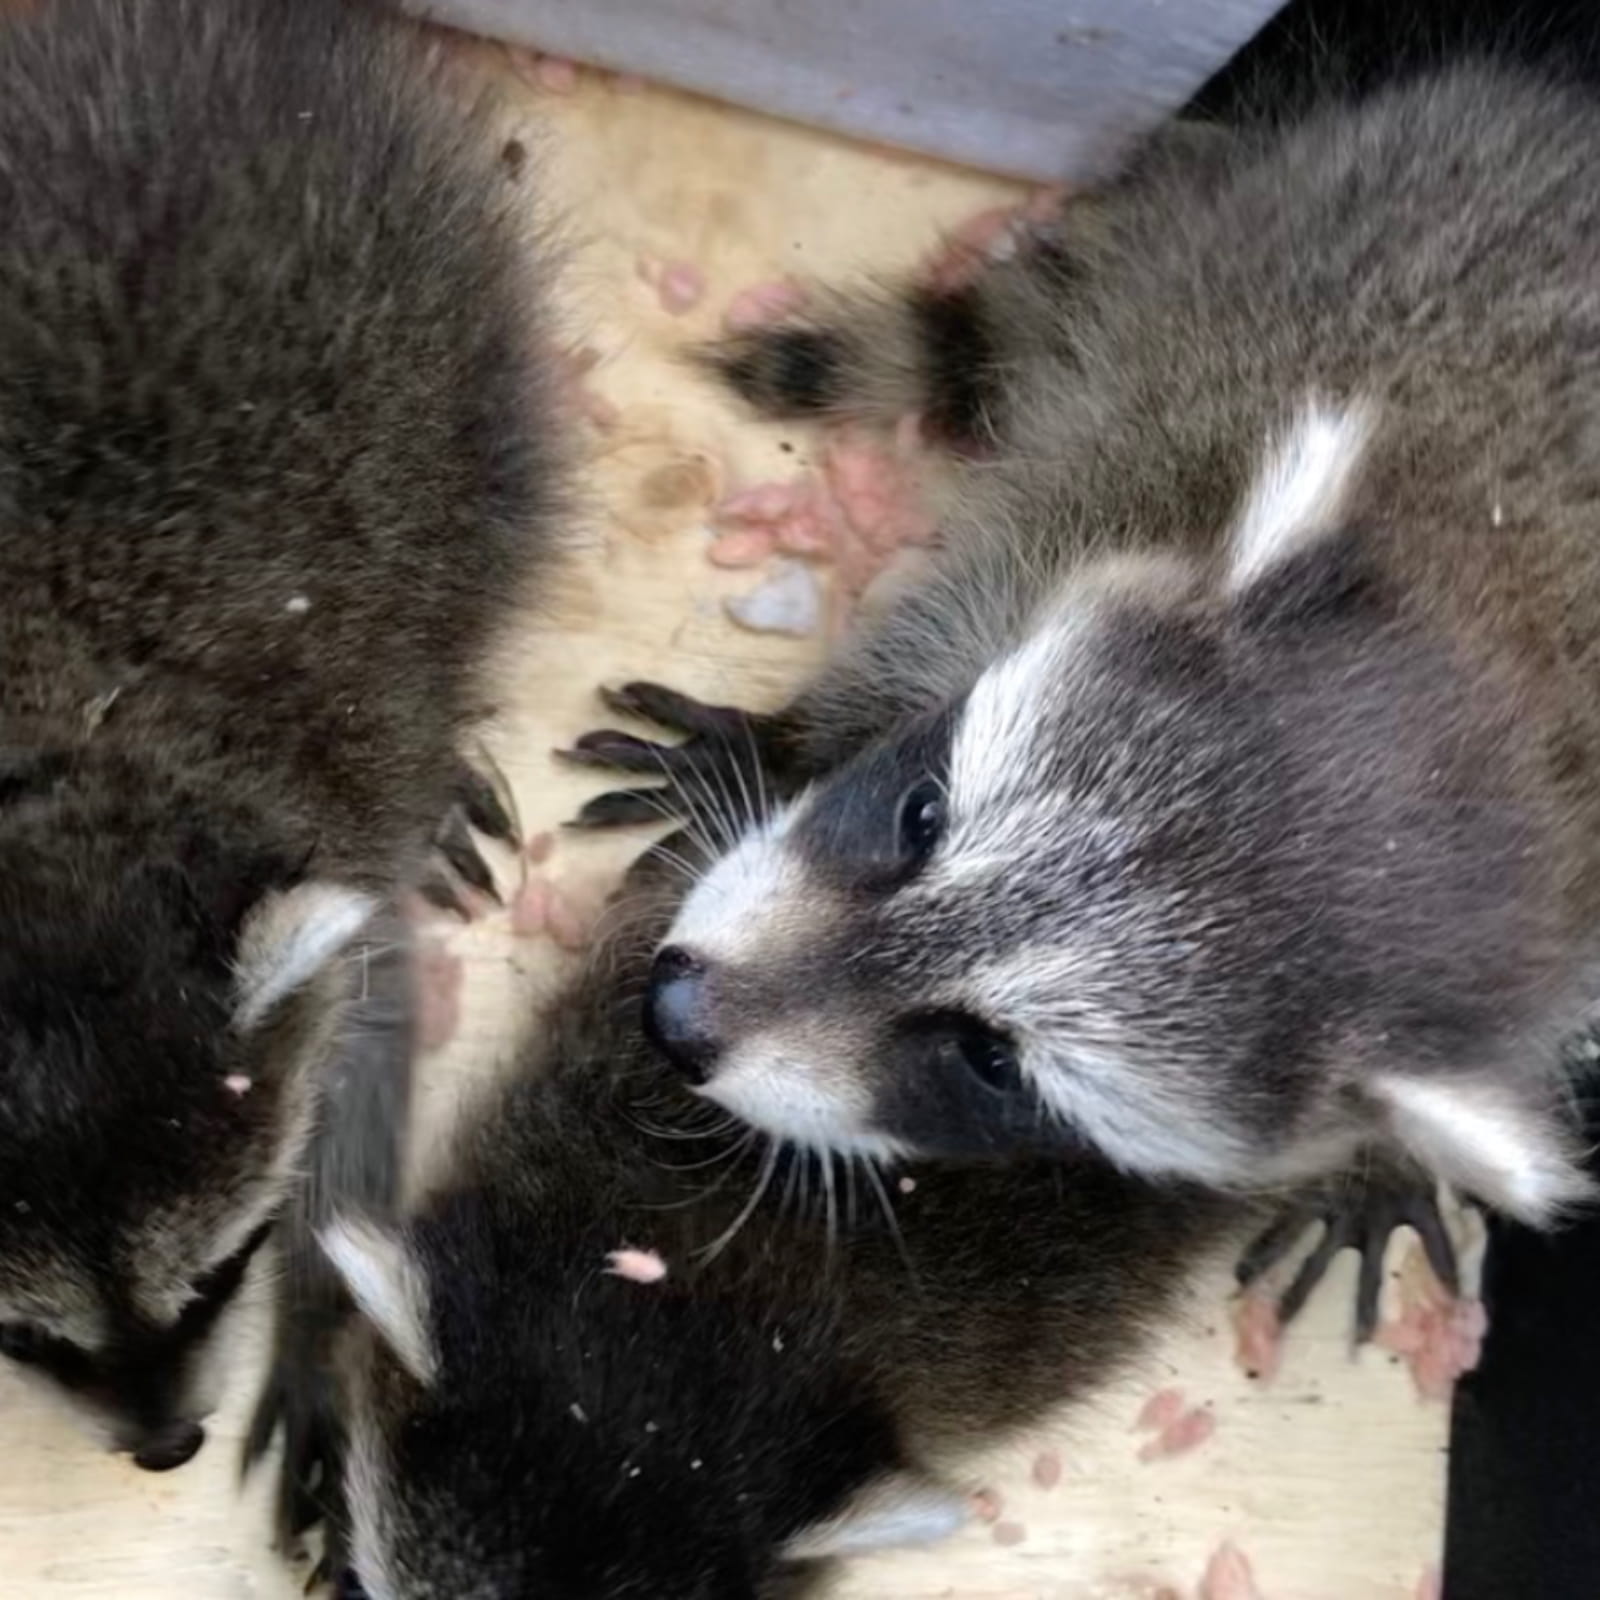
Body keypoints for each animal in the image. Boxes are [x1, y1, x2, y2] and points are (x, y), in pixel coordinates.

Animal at [0, 0, 561, 1479]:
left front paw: (324, 1307)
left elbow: (371, 1014)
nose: (162, 1449)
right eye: (24, 1336)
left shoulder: (328, 798)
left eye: (222, 1272)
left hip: (435, 321)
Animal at [569, 65, 1600, 1279]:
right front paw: (786, 742)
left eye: (990, 1060)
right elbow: (955, 602)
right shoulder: (1136, 476)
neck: (1486, 678)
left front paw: (1379, 1158)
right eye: (922, 815)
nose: (677, 1014)